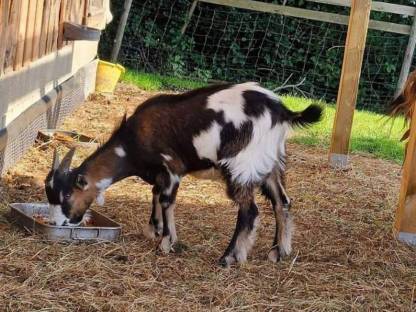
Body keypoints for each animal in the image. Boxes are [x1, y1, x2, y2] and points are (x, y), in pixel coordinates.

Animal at [46, 82, 324, 266]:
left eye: (67, 195)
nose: (58, 223)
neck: (132, 142)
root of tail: (282, 111)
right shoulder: (160, 174)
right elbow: (155, 194)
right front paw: (154, 229)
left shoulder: (171, 167)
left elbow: (166, 200)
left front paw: (166, 242)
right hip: (272, 164)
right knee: (282, 202)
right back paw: (279, 252)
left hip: (241, 165)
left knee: (250, 211)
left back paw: (229, 257)